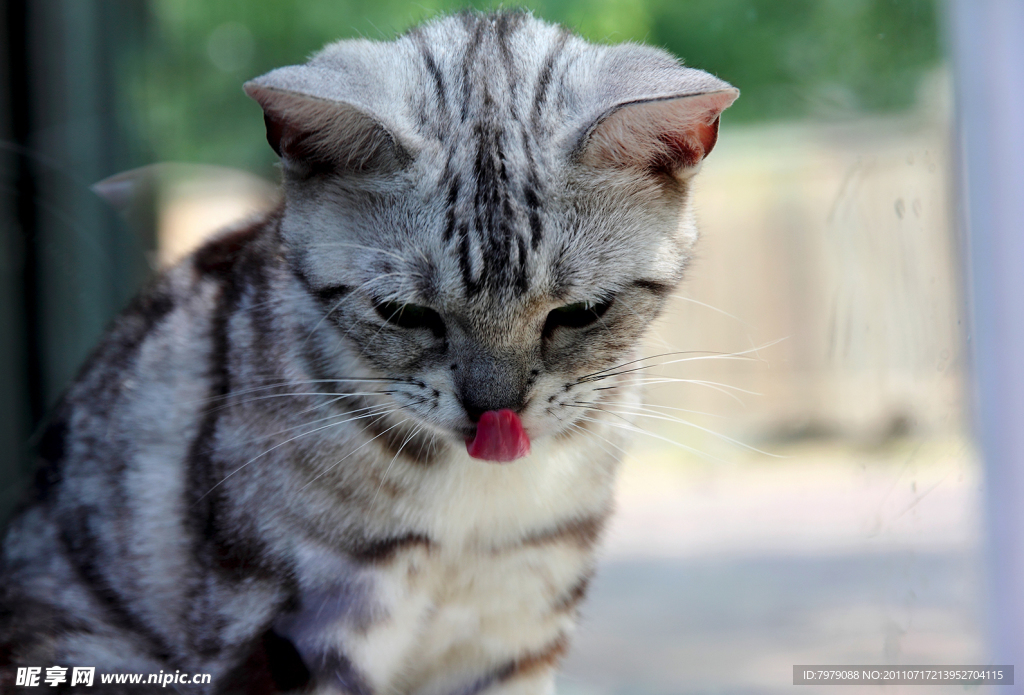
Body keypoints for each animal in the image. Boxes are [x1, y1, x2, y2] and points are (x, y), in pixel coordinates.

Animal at [0, 10, 737, 695]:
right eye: (405, 314)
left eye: (579, 314)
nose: (493, 412)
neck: (474, 512)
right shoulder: (305, 628)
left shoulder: (514, 627)